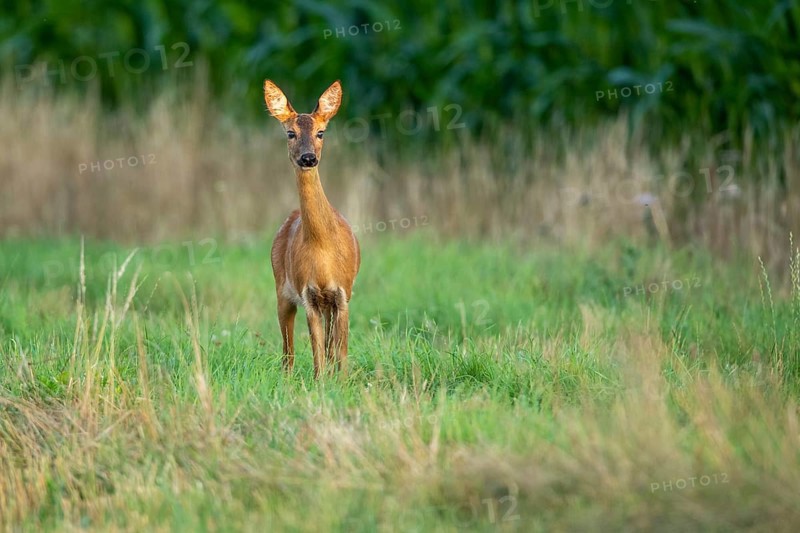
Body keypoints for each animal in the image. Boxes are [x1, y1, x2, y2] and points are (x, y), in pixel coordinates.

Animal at [264, 79, 361, 378]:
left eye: (321, 132)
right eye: (290, 133)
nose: (308, 158)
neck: (323, 250)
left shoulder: (343, 293)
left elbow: (339, 352)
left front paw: (341, 382)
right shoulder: (307, 295)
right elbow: (318, 355)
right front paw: (321, 383)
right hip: (281, 289)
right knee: (288, 351)